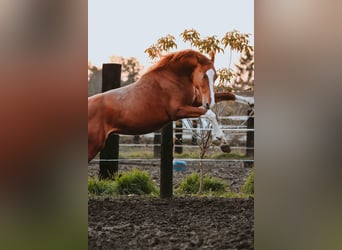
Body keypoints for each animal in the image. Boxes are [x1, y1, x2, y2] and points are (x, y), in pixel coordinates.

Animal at [87, 49, 254, 161]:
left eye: (216, 76)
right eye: (204, 76)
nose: (209, 102)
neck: (173, 79)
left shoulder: (194, 102)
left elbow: (228, 95)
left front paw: (251, 102)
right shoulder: (178, 110)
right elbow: (210, 114)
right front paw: (221, 140)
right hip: (93, 146)